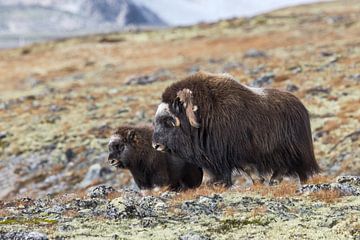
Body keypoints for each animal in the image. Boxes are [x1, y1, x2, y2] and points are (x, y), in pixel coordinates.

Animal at [150, 70, 320, 187]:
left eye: (168, 121)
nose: (155, 145)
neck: (205, 114)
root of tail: (301, 107)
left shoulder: (236, 152)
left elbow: (247, 168)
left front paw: (258, 181)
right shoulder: (214, 158)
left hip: (292, 152)